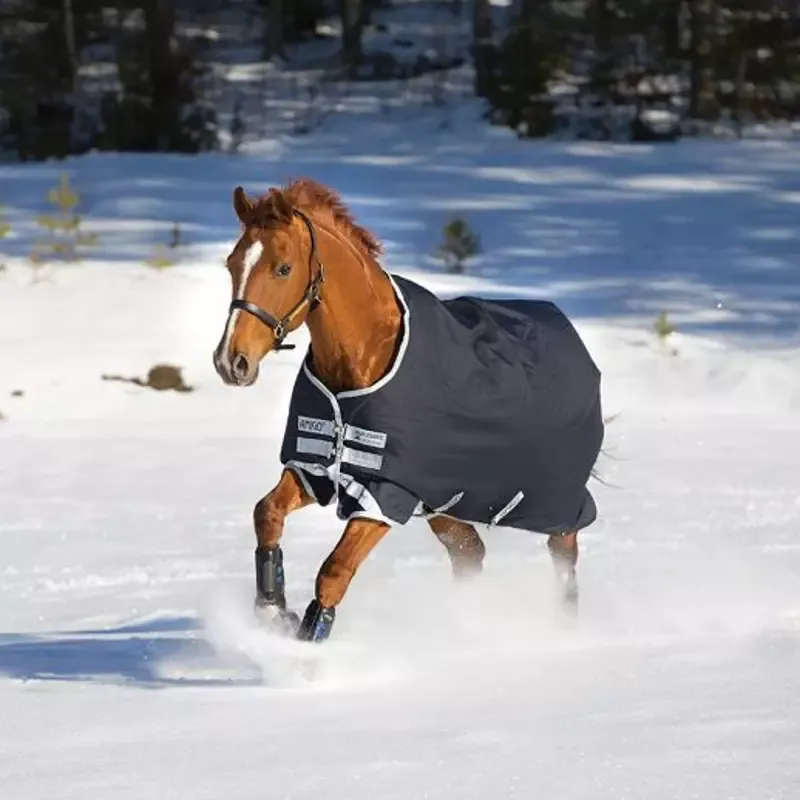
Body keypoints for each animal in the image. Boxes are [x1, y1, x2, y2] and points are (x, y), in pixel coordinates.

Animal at [213, 179, 604, 643]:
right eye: (232, 264)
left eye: (283, 269)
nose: (230, 361)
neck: (362, 361)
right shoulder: (315, 469)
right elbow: (267, 513)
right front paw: (273, 610)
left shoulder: (385, 493)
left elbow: (334, 571)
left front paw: (306, 646)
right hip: (445, 504)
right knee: (470, 553)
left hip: (556, 503)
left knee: (564, 559)